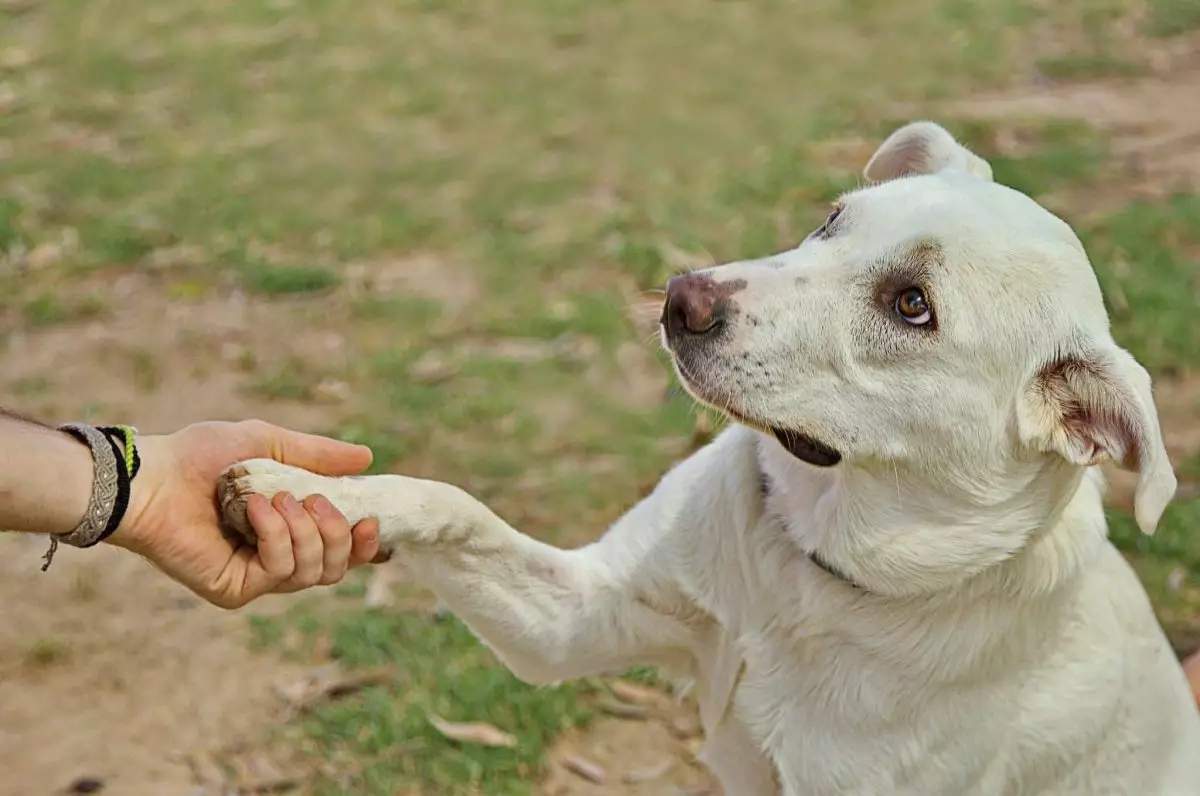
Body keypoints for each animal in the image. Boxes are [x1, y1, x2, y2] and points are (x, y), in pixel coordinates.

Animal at [220, 121, 1200, 792]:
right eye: (832, 221)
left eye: (911, 304)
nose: (680, 297)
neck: (808, 572)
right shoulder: (576, 619)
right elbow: (449, 503)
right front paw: (305, 492)